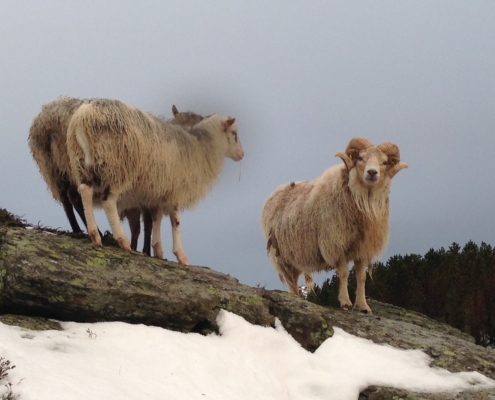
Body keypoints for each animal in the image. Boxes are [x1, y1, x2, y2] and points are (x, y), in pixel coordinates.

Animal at [66, 98, 244, 264]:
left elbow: (156, 218)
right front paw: (181, 255)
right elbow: (175, 221)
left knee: (85, 190)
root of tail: (84, 118)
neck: (201, 146)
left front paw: (158, 249)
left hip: (82, 163)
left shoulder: (158, 190)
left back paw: (94, 235)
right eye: (234, 133)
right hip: (117, 166)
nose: (242, 155)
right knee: (108, 201)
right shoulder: (175, 189)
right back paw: (122, 241)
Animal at [262, 138, 408, 312]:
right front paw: (345, 302)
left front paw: (363, 306)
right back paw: (295, 299)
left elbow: (362, 277)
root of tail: (279, 189)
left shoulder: (362, 248)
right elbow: (344, 273)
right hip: (282, 257)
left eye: (385, 162)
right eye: (360, 158)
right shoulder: (336, 244)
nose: (372, 173)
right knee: (291, 282)